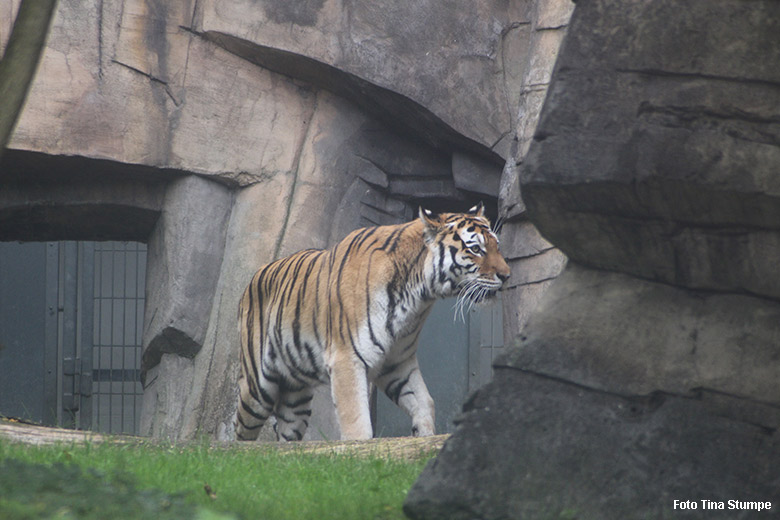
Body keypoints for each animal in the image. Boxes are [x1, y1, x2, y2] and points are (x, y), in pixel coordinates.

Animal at [235, 201, 508, 440]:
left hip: (296, 396)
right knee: (241, 432)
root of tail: (253, 277)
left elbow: (424, 401)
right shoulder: (346, 358)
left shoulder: (397, 362)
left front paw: (422, 435)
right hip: (258, 387)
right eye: (475, 249)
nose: (507, 275)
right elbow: (357, 421)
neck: (418, 294)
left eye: (497, 246)